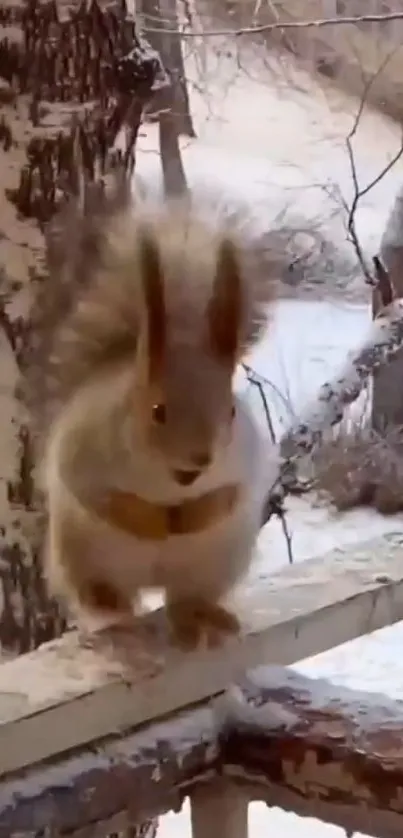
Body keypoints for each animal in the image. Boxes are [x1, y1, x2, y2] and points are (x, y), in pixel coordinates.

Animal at [29, 183, 280, 651]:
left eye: (231, 411)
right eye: (158, 411)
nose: (200, 459)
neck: (168, 487)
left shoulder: (247, 455)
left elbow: (232, 493)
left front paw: (196, 515)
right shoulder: (81, 448)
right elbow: (95, 495)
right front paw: (150, 522)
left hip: (212, 564)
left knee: (184, 600)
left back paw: (201, 617)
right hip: (80, 555)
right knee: (100, 592)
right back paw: (114, 618)